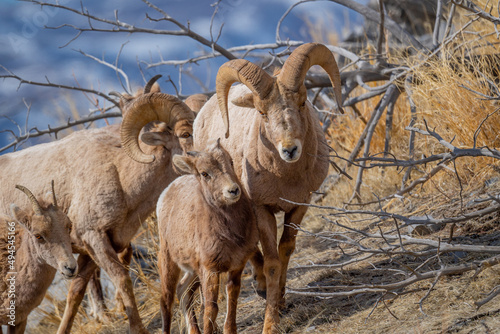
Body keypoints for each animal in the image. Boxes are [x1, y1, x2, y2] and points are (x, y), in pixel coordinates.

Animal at [157, 140, 258, 334]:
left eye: (230, 162)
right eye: (204, 173)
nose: (233, 190)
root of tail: (165, 193)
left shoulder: (236, 266)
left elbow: (232, 296)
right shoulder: (210, 270)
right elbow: (211, 308)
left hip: (193, 271)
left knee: (183, 291)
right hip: (168, 262)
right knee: (166, 300)